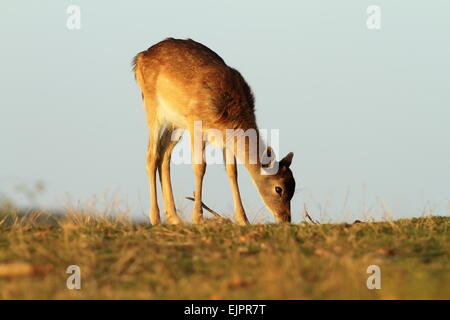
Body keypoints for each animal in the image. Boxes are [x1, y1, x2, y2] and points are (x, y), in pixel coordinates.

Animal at [134, 38, 296, 226]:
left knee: (164, 155)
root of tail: (139, 57)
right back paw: (155, 218)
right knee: (151, 155)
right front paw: (198, 218)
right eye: (279, 189)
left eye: (293, 186)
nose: (286, 219)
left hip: (176, 123)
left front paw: (243, 220)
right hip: (153, 107)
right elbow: (200, 166)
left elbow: (232, 171)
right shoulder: (196, 124)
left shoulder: (225, 138)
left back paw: (174, 218)